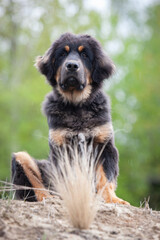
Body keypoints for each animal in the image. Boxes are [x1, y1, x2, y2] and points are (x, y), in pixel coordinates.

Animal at [11, 31, 129, 205]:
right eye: (62, 54)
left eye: (85, 54)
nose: (72, 66)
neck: (76, 105)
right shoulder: (61, 147)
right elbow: (68, 178)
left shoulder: (104, 144)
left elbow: (105, 177)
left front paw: (112, 199)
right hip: (21, 157)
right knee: (36, 190)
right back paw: (51, 199)